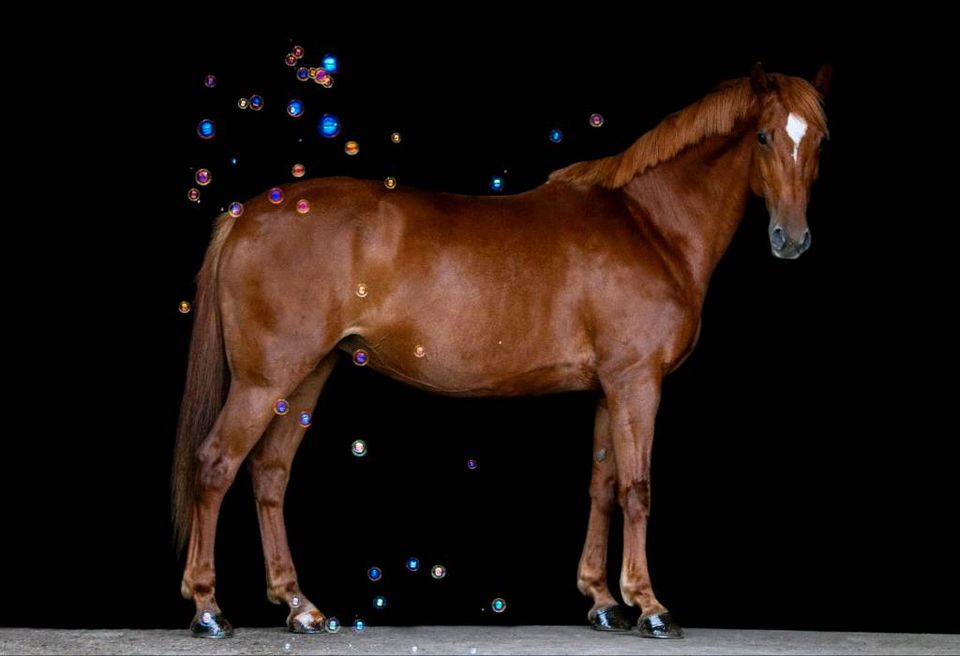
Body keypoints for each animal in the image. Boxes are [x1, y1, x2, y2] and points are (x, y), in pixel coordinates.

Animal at [174, 64, 832, 640]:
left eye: (820, 140)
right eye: (765, 136)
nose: (792, 240)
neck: (649, 226)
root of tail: (246, 214)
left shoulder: (608, 390)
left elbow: (602, 487)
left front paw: (602, 601)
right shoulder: (637, 383)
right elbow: (637, 489)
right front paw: (649, 607)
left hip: (307, 375)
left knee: (269, 473)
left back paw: (301, 608)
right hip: (266, 380)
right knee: (215, 465)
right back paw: (208, 610)